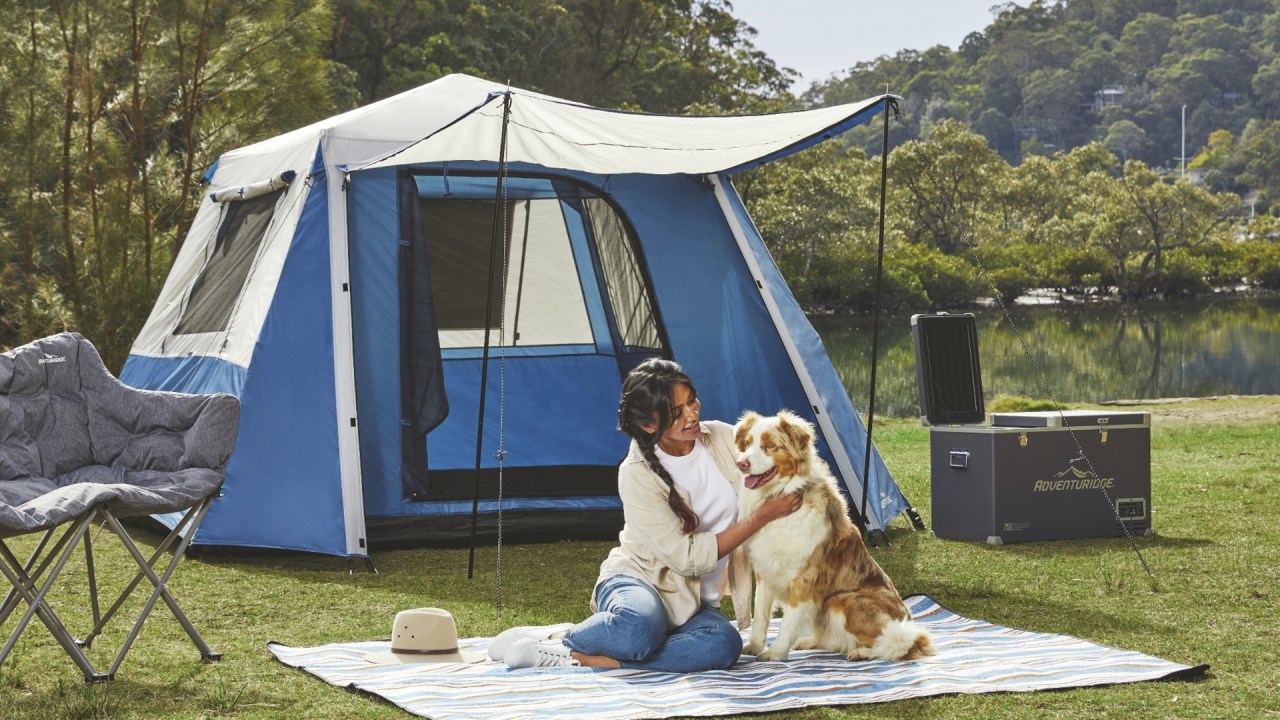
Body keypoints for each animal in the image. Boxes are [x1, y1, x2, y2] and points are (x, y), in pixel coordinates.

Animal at [737, 409, 936, 661]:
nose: (741, 463)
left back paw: (861, 652)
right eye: (747, 443)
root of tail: (907, 618)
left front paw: (775, 653)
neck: (779, 495)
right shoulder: (765, 570)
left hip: (843, 600)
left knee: (899, 643)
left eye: (770, 445)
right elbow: (761, 615)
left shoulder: (805, 578)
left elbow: (788, 621)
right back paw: (810, 642)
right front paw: (754, 647)